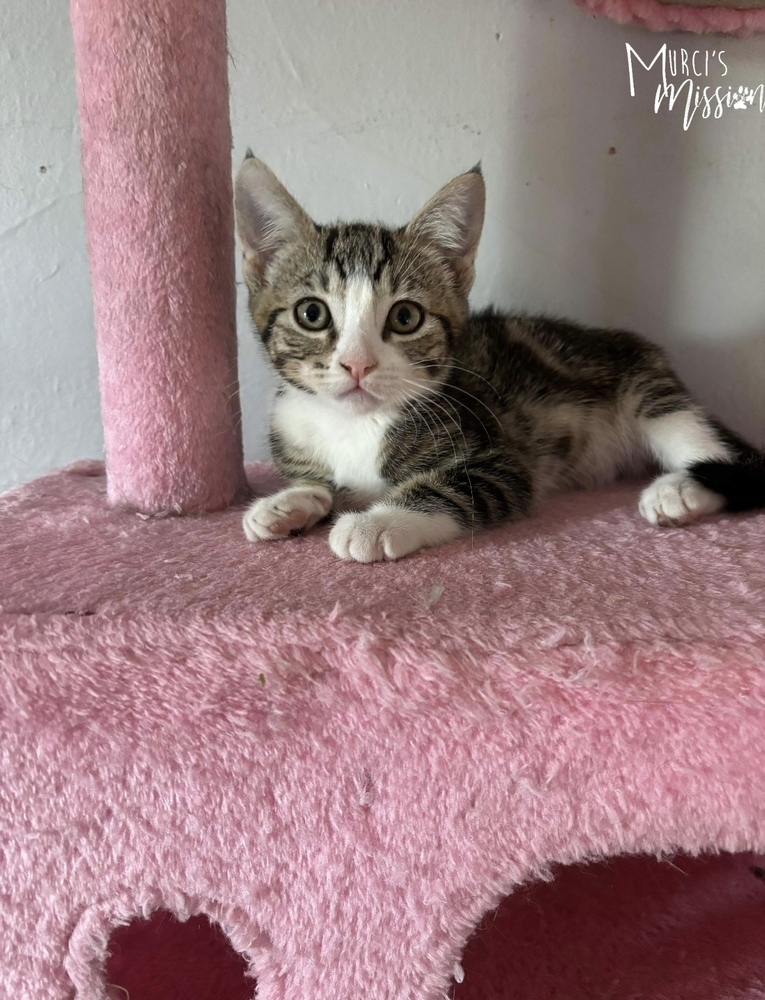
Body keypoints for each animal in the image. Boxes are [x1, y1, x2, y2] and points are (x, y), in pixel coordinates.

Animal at [233, 155, 764, 564]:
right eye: (312, 313)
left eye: (405, 317)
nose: (357, 365)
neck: (352, 426)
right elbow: (320, 483)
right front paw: (288, 504)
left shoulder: (501, 461)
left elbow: (450, 488)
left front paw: (374, 523)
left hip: (651, 393)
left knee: (726, 456)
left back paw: (678, 491)